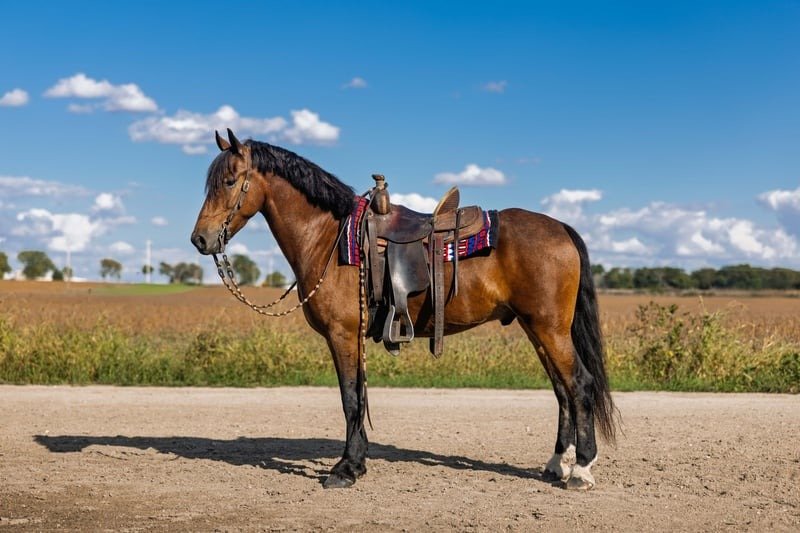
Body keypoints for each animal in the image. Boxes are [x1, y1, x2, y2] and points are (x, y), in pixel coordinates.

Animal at [190, 129, 617, 490]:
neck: (329, 238)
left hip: (550, 328)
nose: (200, 239)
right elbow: (358, 397)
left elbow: (351, 398)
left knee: (579, 384)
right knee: (562, 390)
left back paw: (581, 470)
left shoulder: (343, 335)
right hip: (537, 328)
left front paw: (346, 469)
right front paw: (357, 462)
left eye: (228, 181)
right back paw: (557, 463)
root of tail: (561, 228)